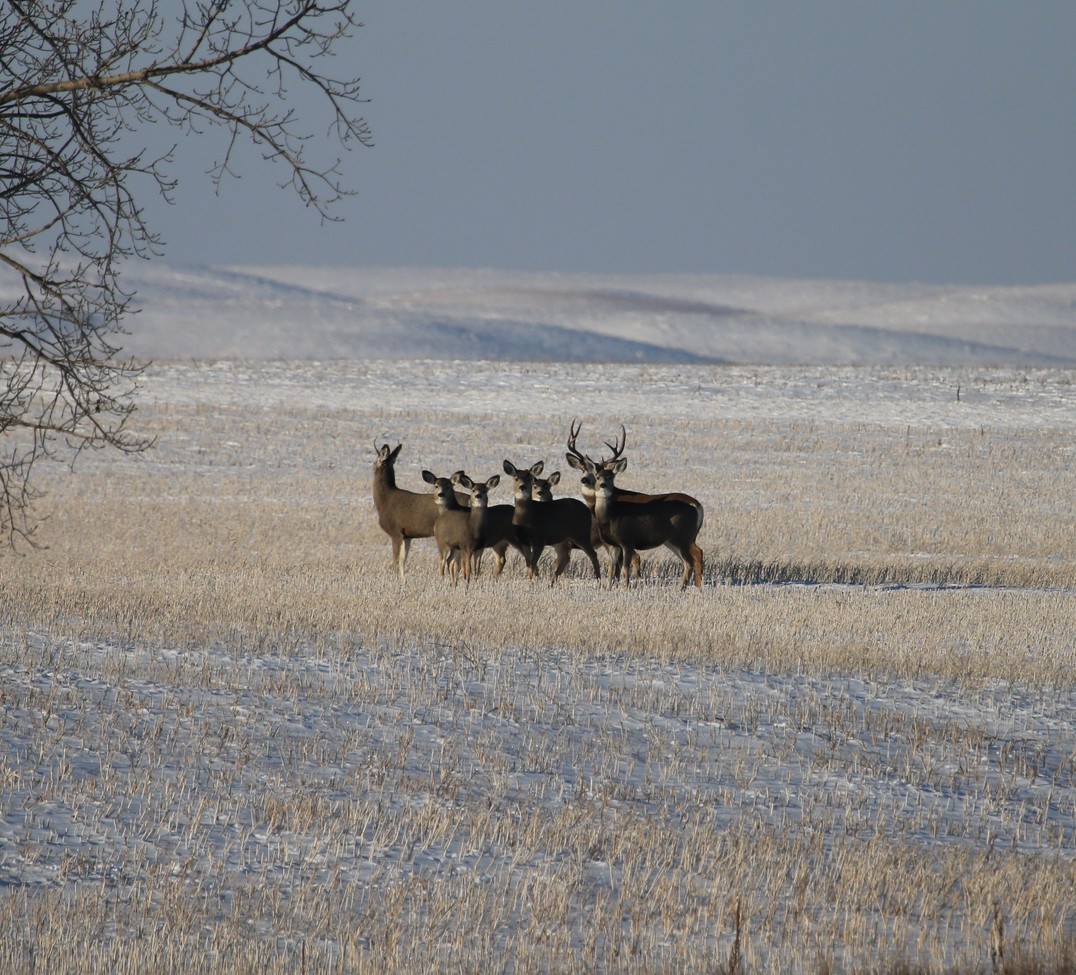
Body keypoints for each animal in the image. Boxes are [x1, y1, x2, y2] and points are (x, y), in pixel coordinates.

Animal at [565, 423, 704, 590]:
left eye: (610, 476)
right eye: (583, 469)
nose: (586, 480)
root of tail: (697, 505)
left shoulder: (627, 541)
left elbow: (625, 566)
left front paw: (626, 588)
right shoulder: (613, 543)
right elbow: (612, 568)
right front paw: (609, 588)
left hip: (682, 536)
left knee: (694, 557)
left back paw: (688, 588)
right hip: (673, 540)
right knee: (690, 559)